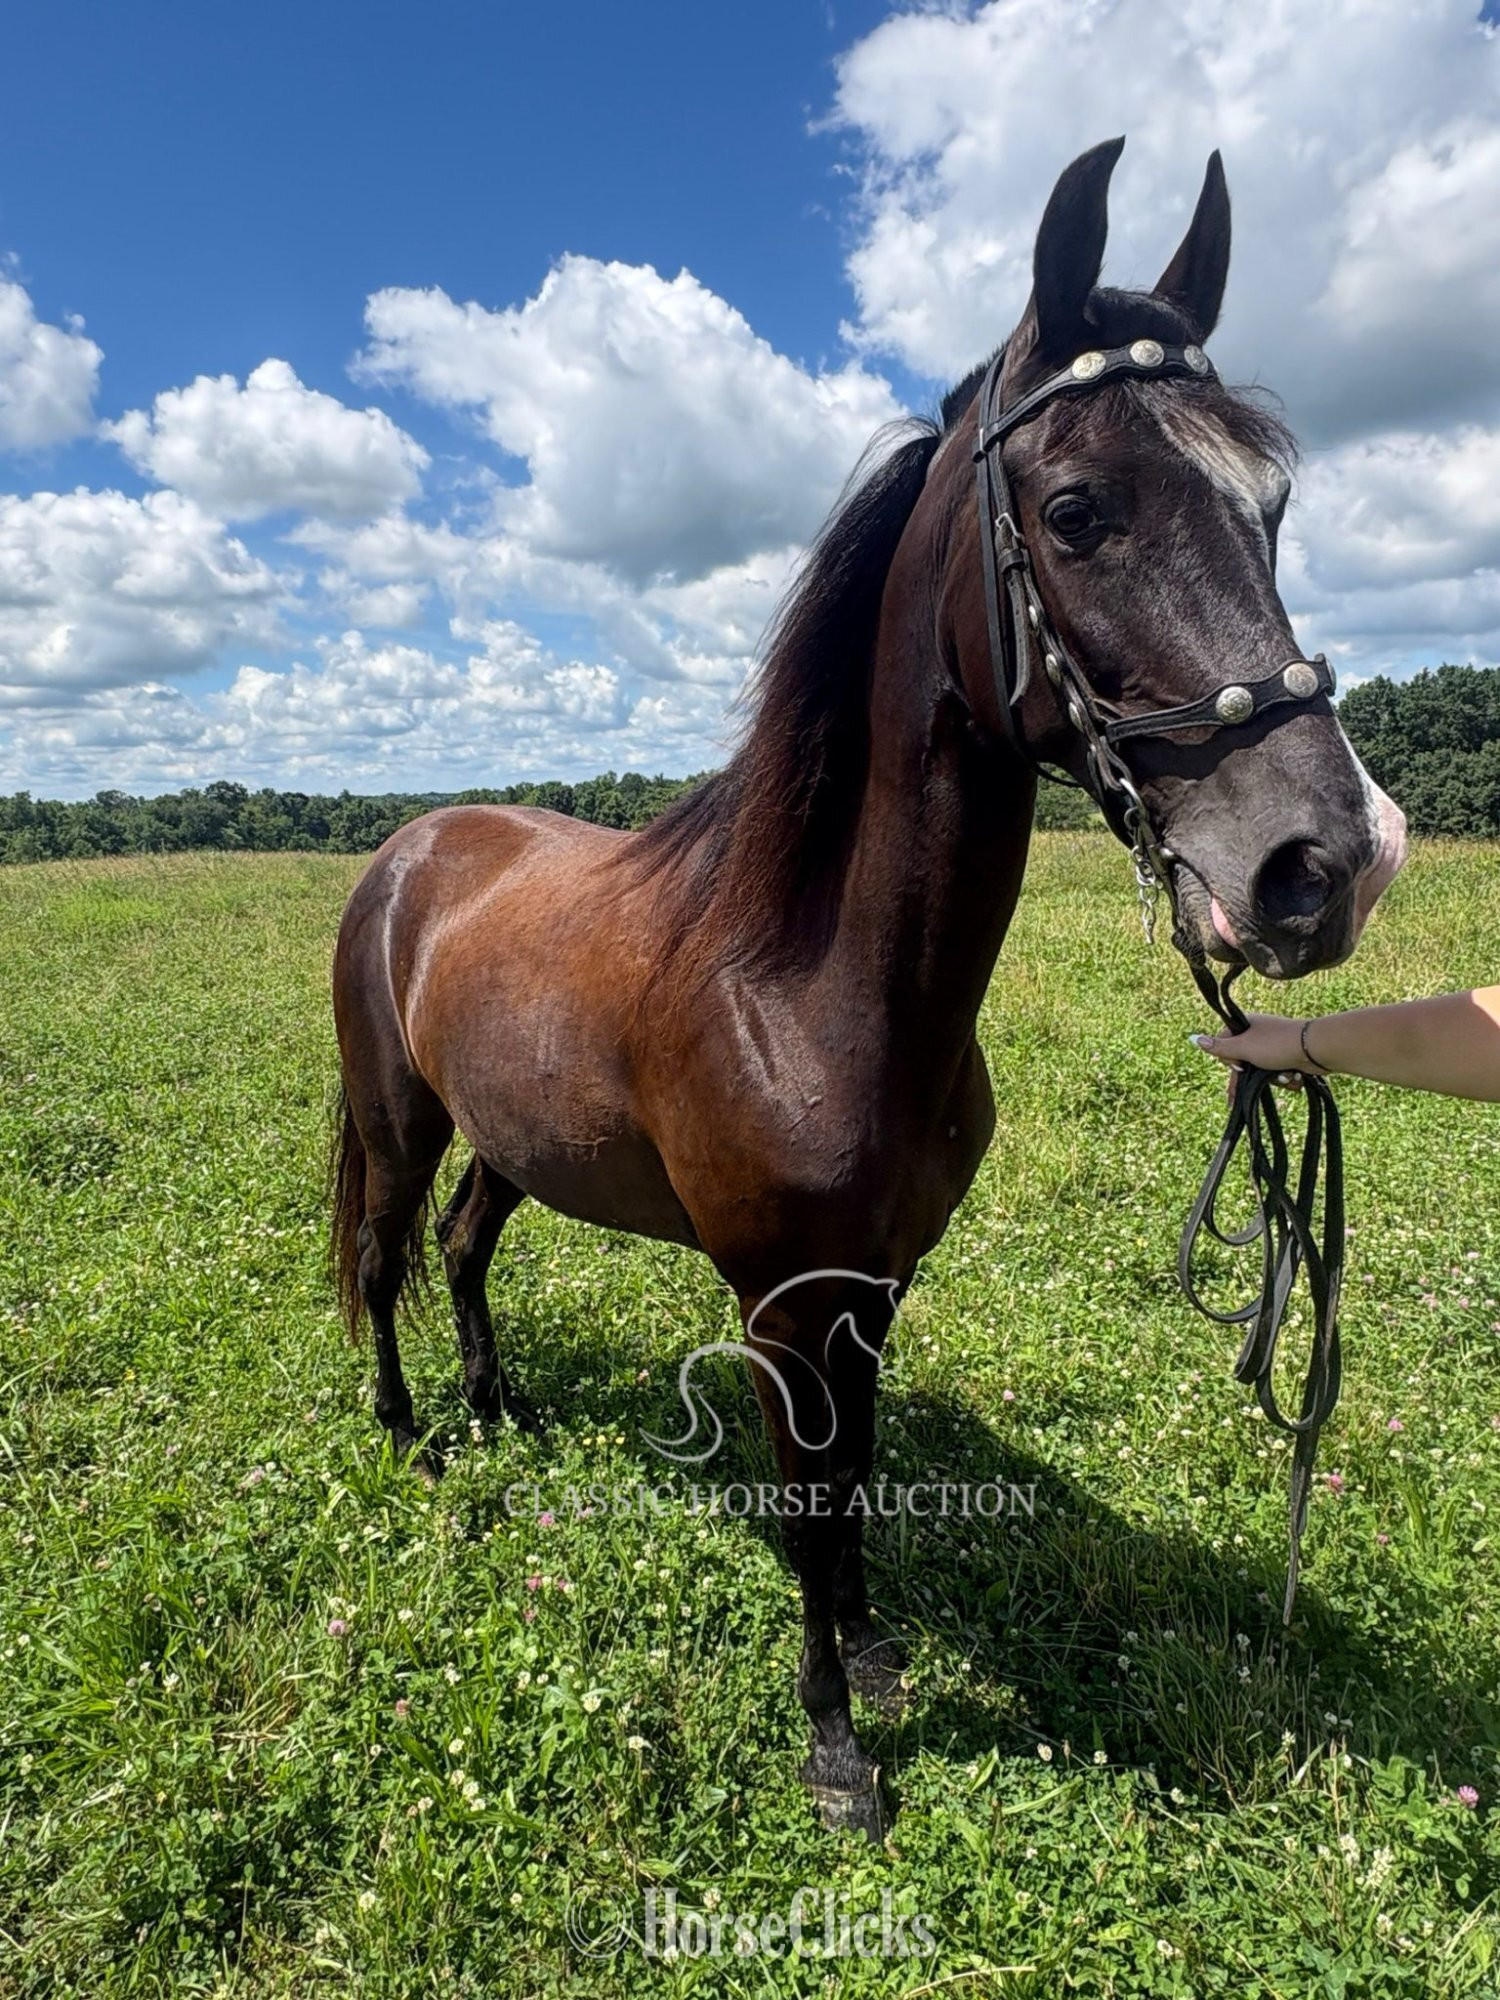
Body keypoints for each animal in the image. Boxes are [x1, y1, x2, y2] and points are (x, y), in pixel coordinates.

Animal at [330, 138, 1407, 1841]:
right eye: (1077, 509)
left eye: (1275, 504)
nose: (1322, 864)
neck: (814, 984)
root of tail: (412, 849)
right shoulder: (785, 1301)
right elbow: (809, 1500)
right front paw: (836, 1743)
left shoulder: (878, 1281)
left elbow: (857, 1484)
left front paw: (875, 1657)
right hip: (397, 1115)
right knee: (381, 1259)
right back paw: (412, 1438)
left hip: (510, 1141)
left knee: (460, 1247)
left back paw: (498, 1409)